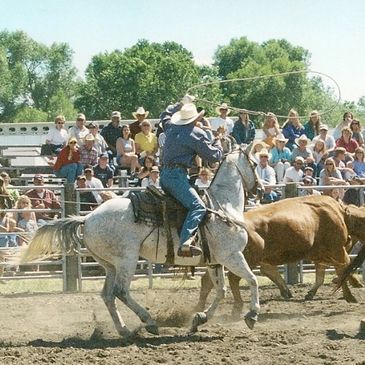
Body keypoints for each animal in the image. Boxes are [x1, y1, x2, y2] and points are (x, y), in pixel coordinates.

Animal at [19, 146, 258, 336]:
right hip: (128, 259)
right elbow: (252, 280)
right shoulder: (232, 256)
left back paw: (124, 330)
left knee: (108, 295)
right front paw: (252, 315)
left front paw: (199, 319)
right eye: (255, 163)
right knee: (120, 292)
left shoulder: (215, 262)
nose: (260, 189)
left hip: (111, 265)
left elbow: (221, 291)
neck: (222, 206)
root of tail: (87, 218)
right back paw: (149, 322)